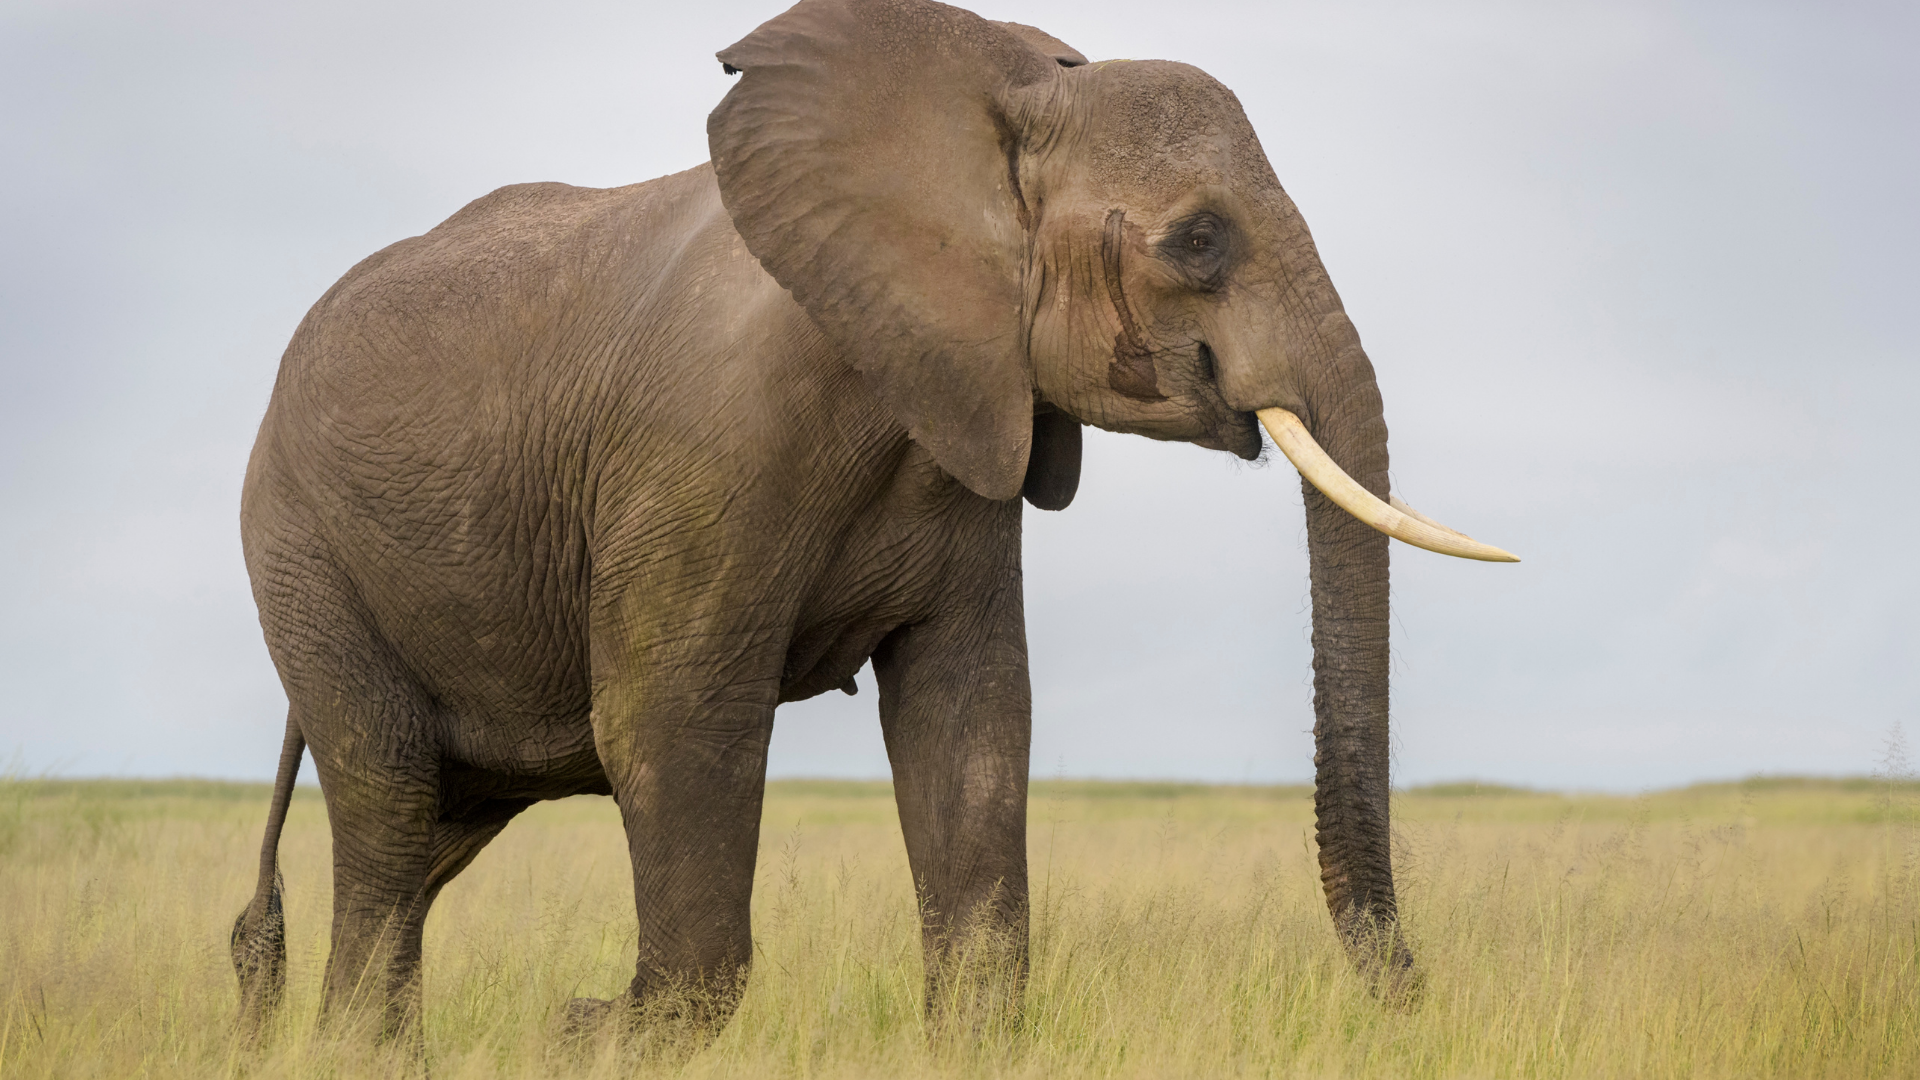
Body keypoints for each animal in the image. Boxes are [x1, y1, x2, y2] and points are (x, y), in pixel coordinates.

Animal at [229, 0, 1515, 1039]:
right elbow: (666, 722)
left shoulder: (965, 417)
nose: (1409, 988)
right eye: (1200, 239)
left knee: (428, 838)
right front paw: (587, 1031)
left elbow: (971, 721)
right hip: (298, 544)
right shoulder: (704, 450)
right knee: (389, 800)